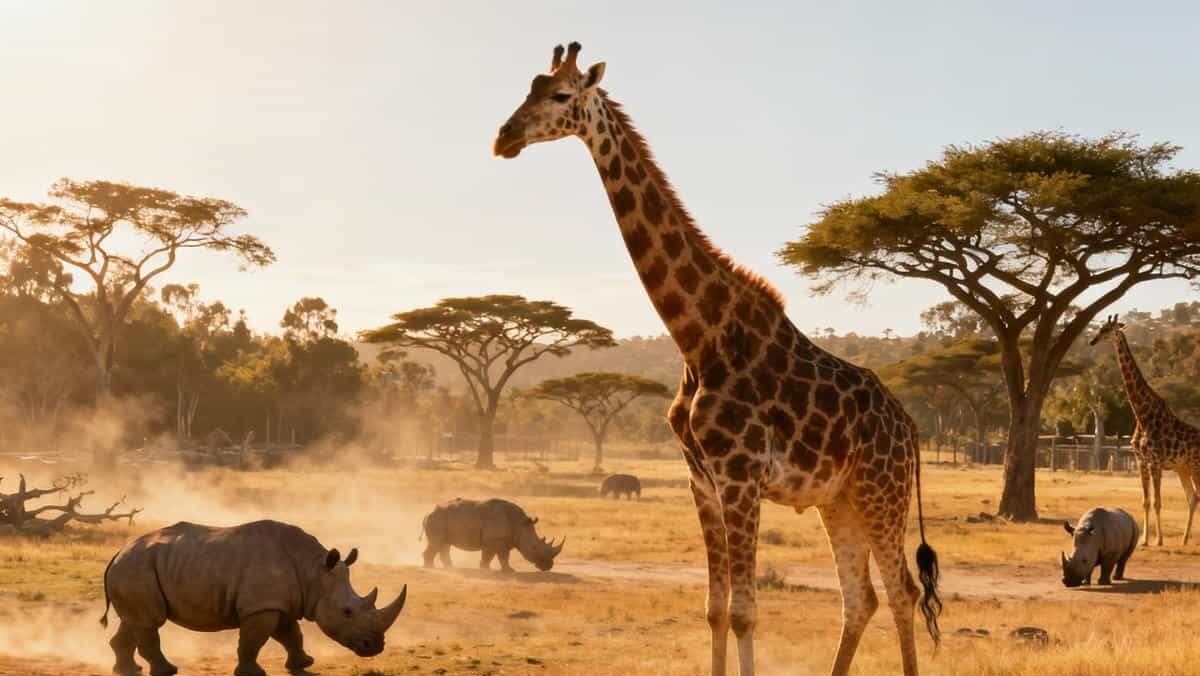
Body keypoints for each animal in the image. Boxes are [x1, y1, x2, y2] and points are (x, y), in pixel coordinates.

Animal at [100, 520, 407, 676]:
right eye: (347, 612)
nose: (375, 647)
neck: (314, 572)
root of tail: (117, 553)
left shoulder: (279, 604)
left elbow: (291, 635)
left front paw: (304, 664)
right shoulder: (261, 607)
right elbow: (254, 640)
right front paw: (252, 674)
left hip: (137, 569)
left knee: (134, 621)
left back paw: (128, 670)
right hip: (135, 568)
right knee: (149, 622)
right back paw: (167, 671)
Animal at [421, 498, 563, 572]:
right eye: (534, 547)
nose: (549, 566)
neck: (520, 525)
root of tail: (427, 514)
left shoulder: (504, 541)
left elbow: (501, 557)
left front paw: (504, 570)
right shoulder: (494, 540)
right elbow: (493, 556)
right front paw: (488, 569)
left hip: (443, 520)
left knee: (444, 544)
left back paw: (451, 568)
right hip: (437, 520)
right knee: (437, 543)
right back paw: (430, 567)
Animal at [493, 42, 941, 676]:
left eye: (559, 95)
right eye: (526, 88)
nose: (504, 137)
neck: (698, 338)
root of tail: (910, 428)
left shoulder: (739, 477)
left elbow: (744, 612)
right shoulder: (700, 481)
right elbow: (713, 609)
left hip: (883, 490)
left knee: (901, 592)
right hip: (841, 499)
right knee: (862, 597)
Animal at [1090, 314, 1200, 546]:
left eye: (1107, 329)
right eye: (1101, 328)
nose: (1092, 341)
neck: (1142, 415)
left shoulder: (1155, 462)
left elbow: (1157, 501)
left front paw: (1158, 540)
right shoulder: (1142, 462)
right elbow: (1146, 501)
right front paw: (1144, 540)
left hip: (1195, 466)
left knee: (1196, 495)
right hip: (1183, 468)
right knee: (1193, 497)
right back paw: (1184, 539)